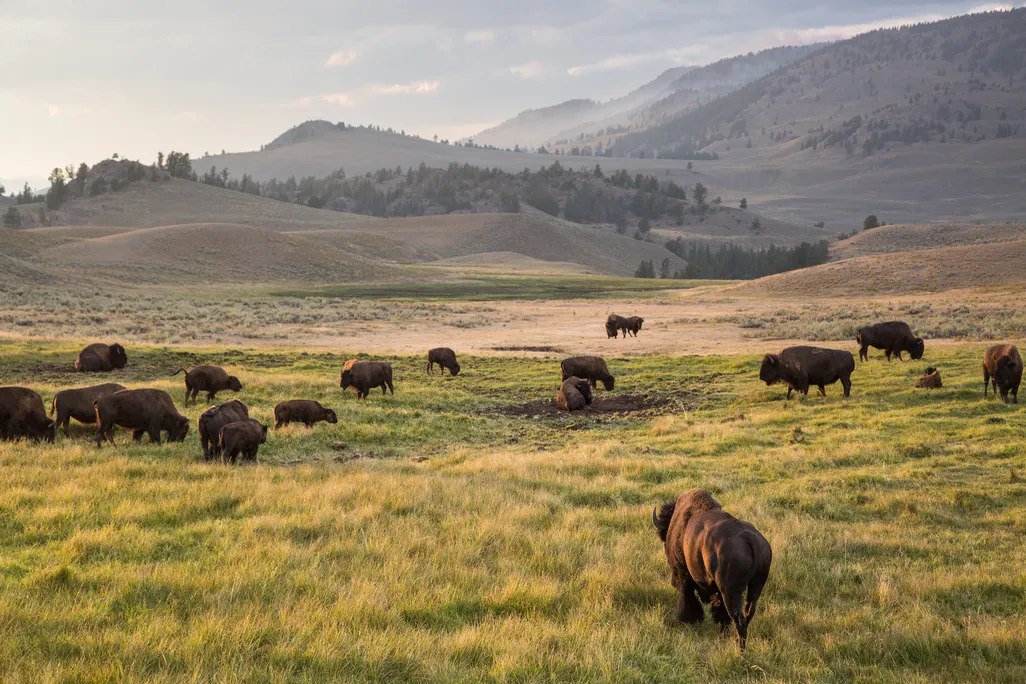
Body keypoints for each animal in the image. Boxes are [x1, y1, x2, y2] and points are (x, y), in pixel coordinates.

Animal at [653, 489, 772, 651]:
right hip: (756, 586)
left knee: (738, 618)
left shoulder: (684, 576)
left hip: (730, 592)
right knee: (747, 613)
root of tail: (750, 539)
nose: (672, 581)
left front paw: (687, 620)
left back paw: (739, 649)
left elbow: (687, 598)